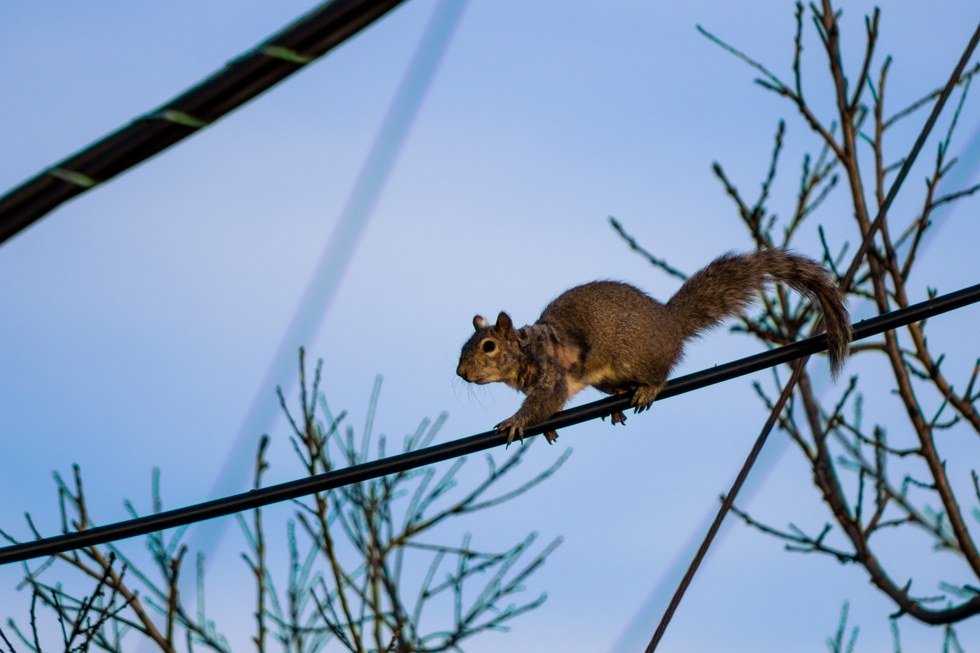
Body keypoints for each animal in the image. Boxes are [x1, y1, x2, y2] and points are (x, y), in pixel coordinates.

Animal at [456, 249, 850, 445]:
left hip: (632, 356)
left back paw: (647, 389)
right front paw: (548, 427)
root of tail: (670, 324)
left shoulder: (551, 373)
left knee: (660, 373)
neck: (525, 351)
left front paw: (515, 422)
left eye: (488, 346)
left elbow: (543, 401)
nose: (460, 373)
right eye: (466, 346)